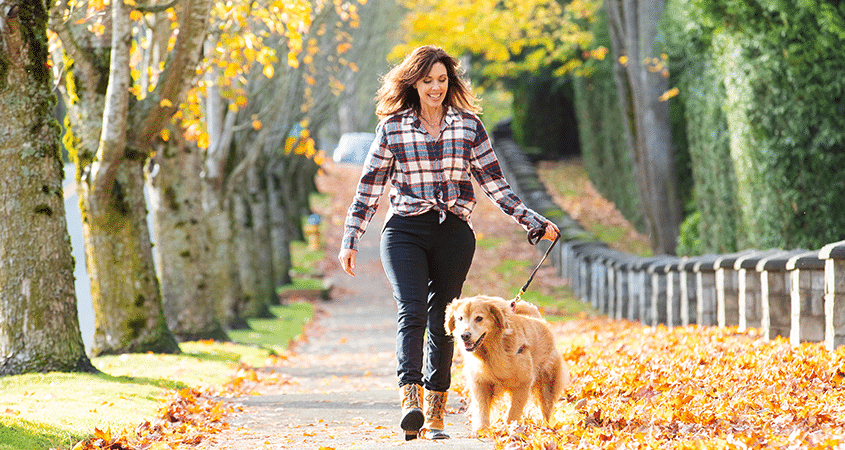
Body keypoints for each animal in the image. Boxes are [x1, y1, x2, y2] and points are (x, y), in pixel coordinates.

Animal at [446, 296, 572, 432]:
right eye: (460, 318)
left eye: (479, 318)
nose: (464, 335)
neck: (492, 350)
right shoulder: (480, 383)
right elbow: (482, 409)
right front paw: (481, 430)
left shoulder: (523, 382)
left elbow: (514, 411)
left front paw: (509, 428)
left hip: (547, 385)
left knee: (546, 410)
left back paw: (547, 428)